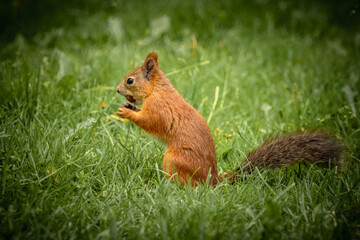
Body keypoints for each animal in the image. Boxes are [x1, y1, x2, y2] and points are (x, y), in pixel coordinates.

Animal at [116, 53, 344, 188]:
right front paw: (130, 107)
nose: (117, 90)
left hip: (173, 160)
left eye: (130, 80)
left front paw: (127, 113)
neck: (157, 90)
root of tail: (213, 180)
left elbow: (149, 122)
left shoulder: (159, 109)